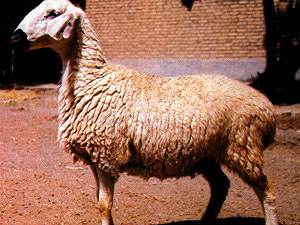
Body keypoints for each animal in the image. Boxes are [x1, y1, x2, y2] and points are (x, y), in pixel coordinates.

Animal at [12, 0, 278, 224]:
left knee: (266, 190)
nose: (16, 36)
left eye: (53, 13)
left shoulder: (107, 155)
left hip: (243, 146)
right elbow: (99, 203)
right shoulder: (93, 157)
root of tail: (268, 108)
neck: (91, 79)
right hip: (208, 154)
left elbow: (104, 205)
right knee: (221, 186)